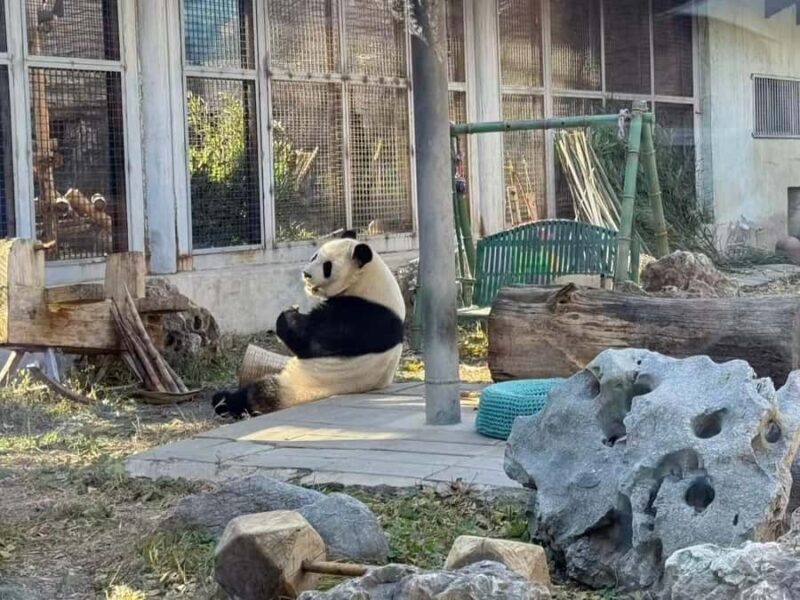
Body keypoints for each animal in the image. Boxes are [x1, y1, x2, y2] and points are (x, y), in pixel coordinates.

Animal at [212, 230, 406, 419]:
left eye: (327, 266)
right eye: (314, 256)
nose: (306, 274)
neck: (366, 281)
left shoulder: (364, 315)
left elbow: (314, 339)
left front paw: (288, 314)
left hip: (299, 386)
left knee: (259, 393)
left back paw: (225, 402)